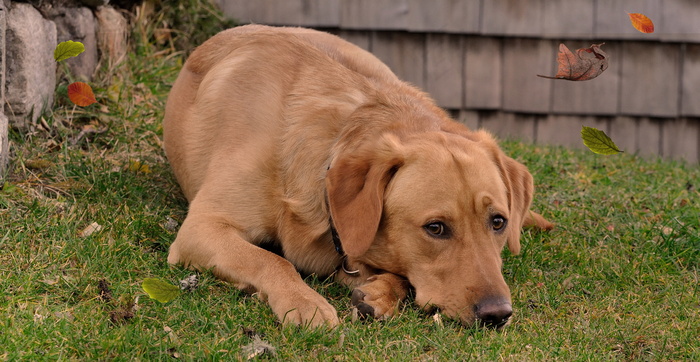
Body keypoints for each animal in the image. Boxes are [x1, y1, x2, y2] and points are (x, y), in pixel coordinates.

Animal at [164, 24, 552, 330]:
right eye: (435, 228)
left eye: (498, 222)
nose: (497, 314)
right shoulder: (202, 227)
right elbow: (271, 260)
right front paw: (304, 302)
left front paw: (380, 292)